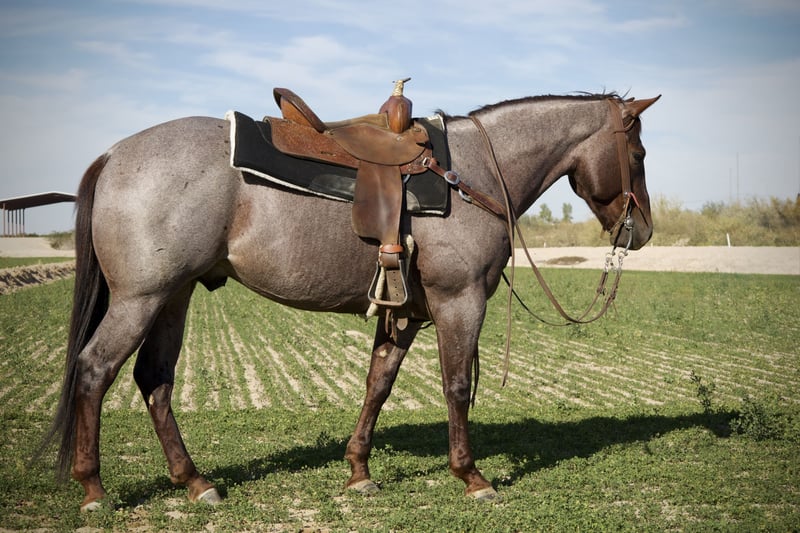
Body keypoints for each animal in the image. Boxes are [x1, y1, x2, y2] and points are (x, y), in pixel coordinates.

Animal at [42, 91, 659, 511]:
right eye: (638, 152)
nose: (642, 232)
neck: (476, 171)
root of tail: (114, 155)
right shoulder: (458, 303)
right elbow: (457, 387)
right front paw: (471, 476)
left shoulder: (405, 313)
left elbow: (378, 382)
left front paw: (359, 470)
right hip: (140, 299)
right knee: (94, 370)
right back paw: (94, 487)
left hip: (173, 296)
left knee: (155, 379)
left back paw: (195, 482)